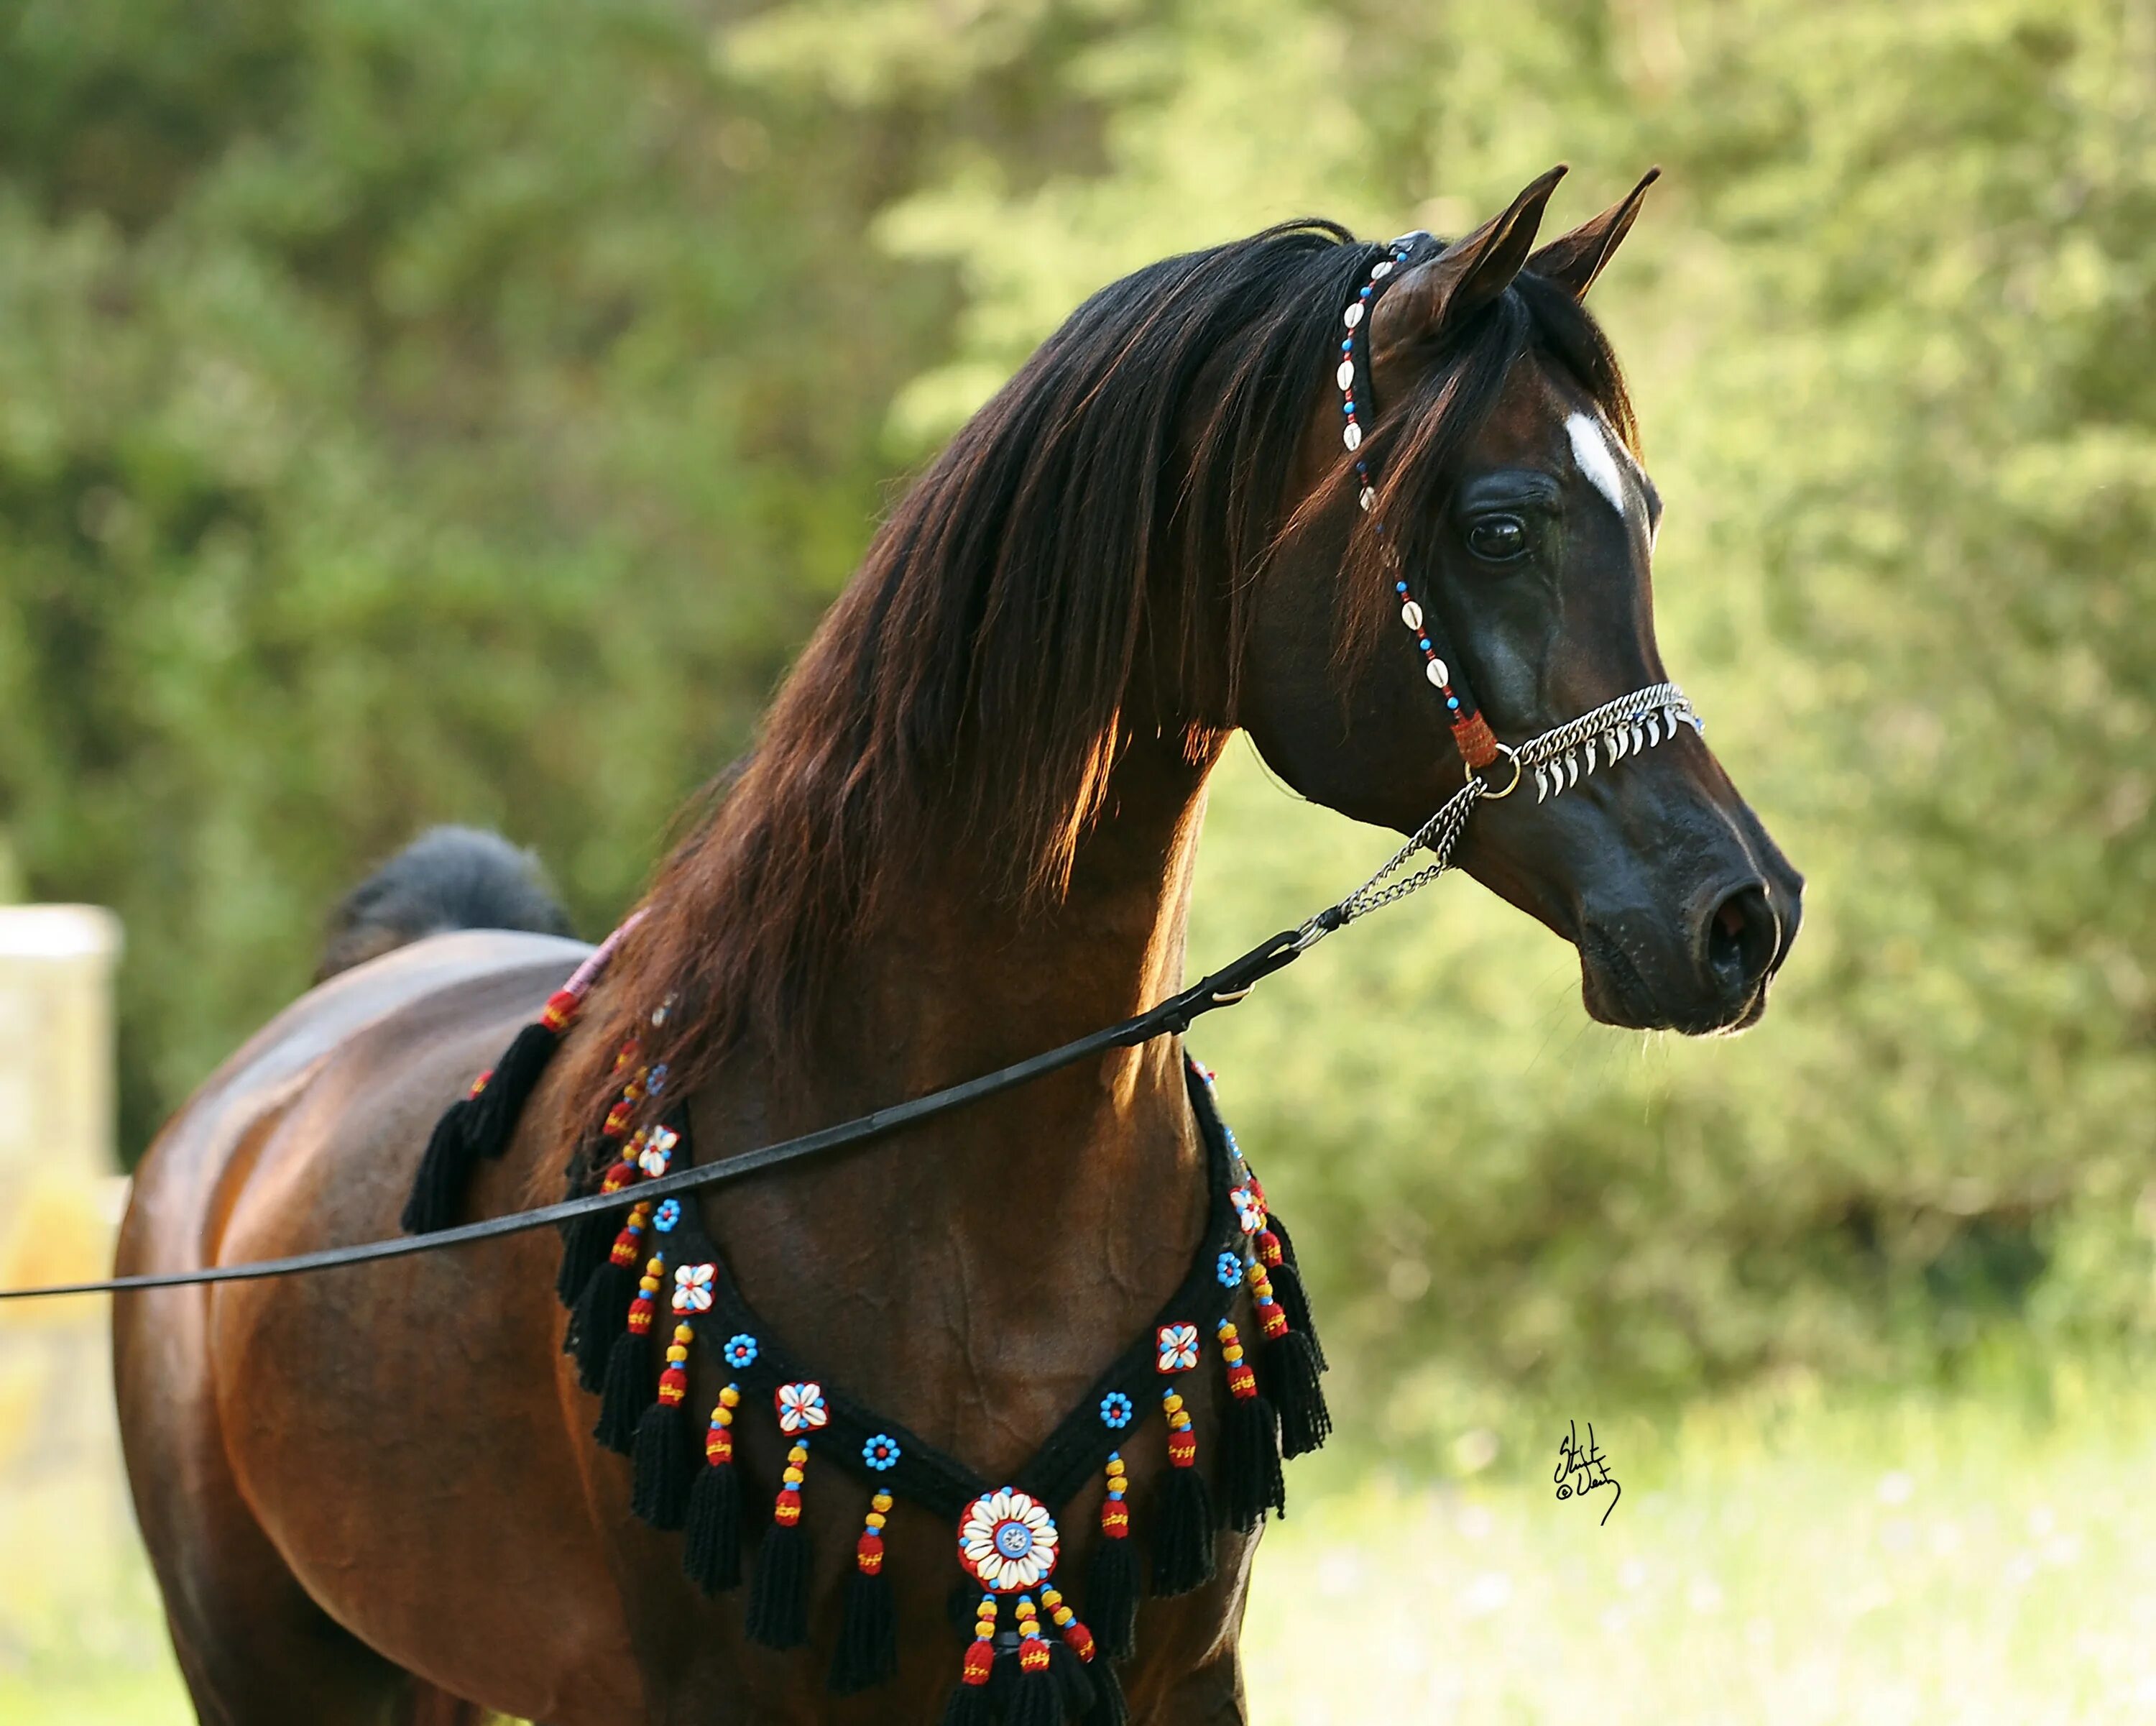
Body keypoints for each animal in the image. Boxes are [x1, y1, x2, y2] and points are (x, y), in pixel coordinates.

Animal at [118, 165, 1802, 1726]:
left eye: (1647, 514)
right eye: (1501, 524)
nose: (1745, 915)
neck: (961, 1168)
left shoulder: (1185, 1671)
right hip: (267, 1669)